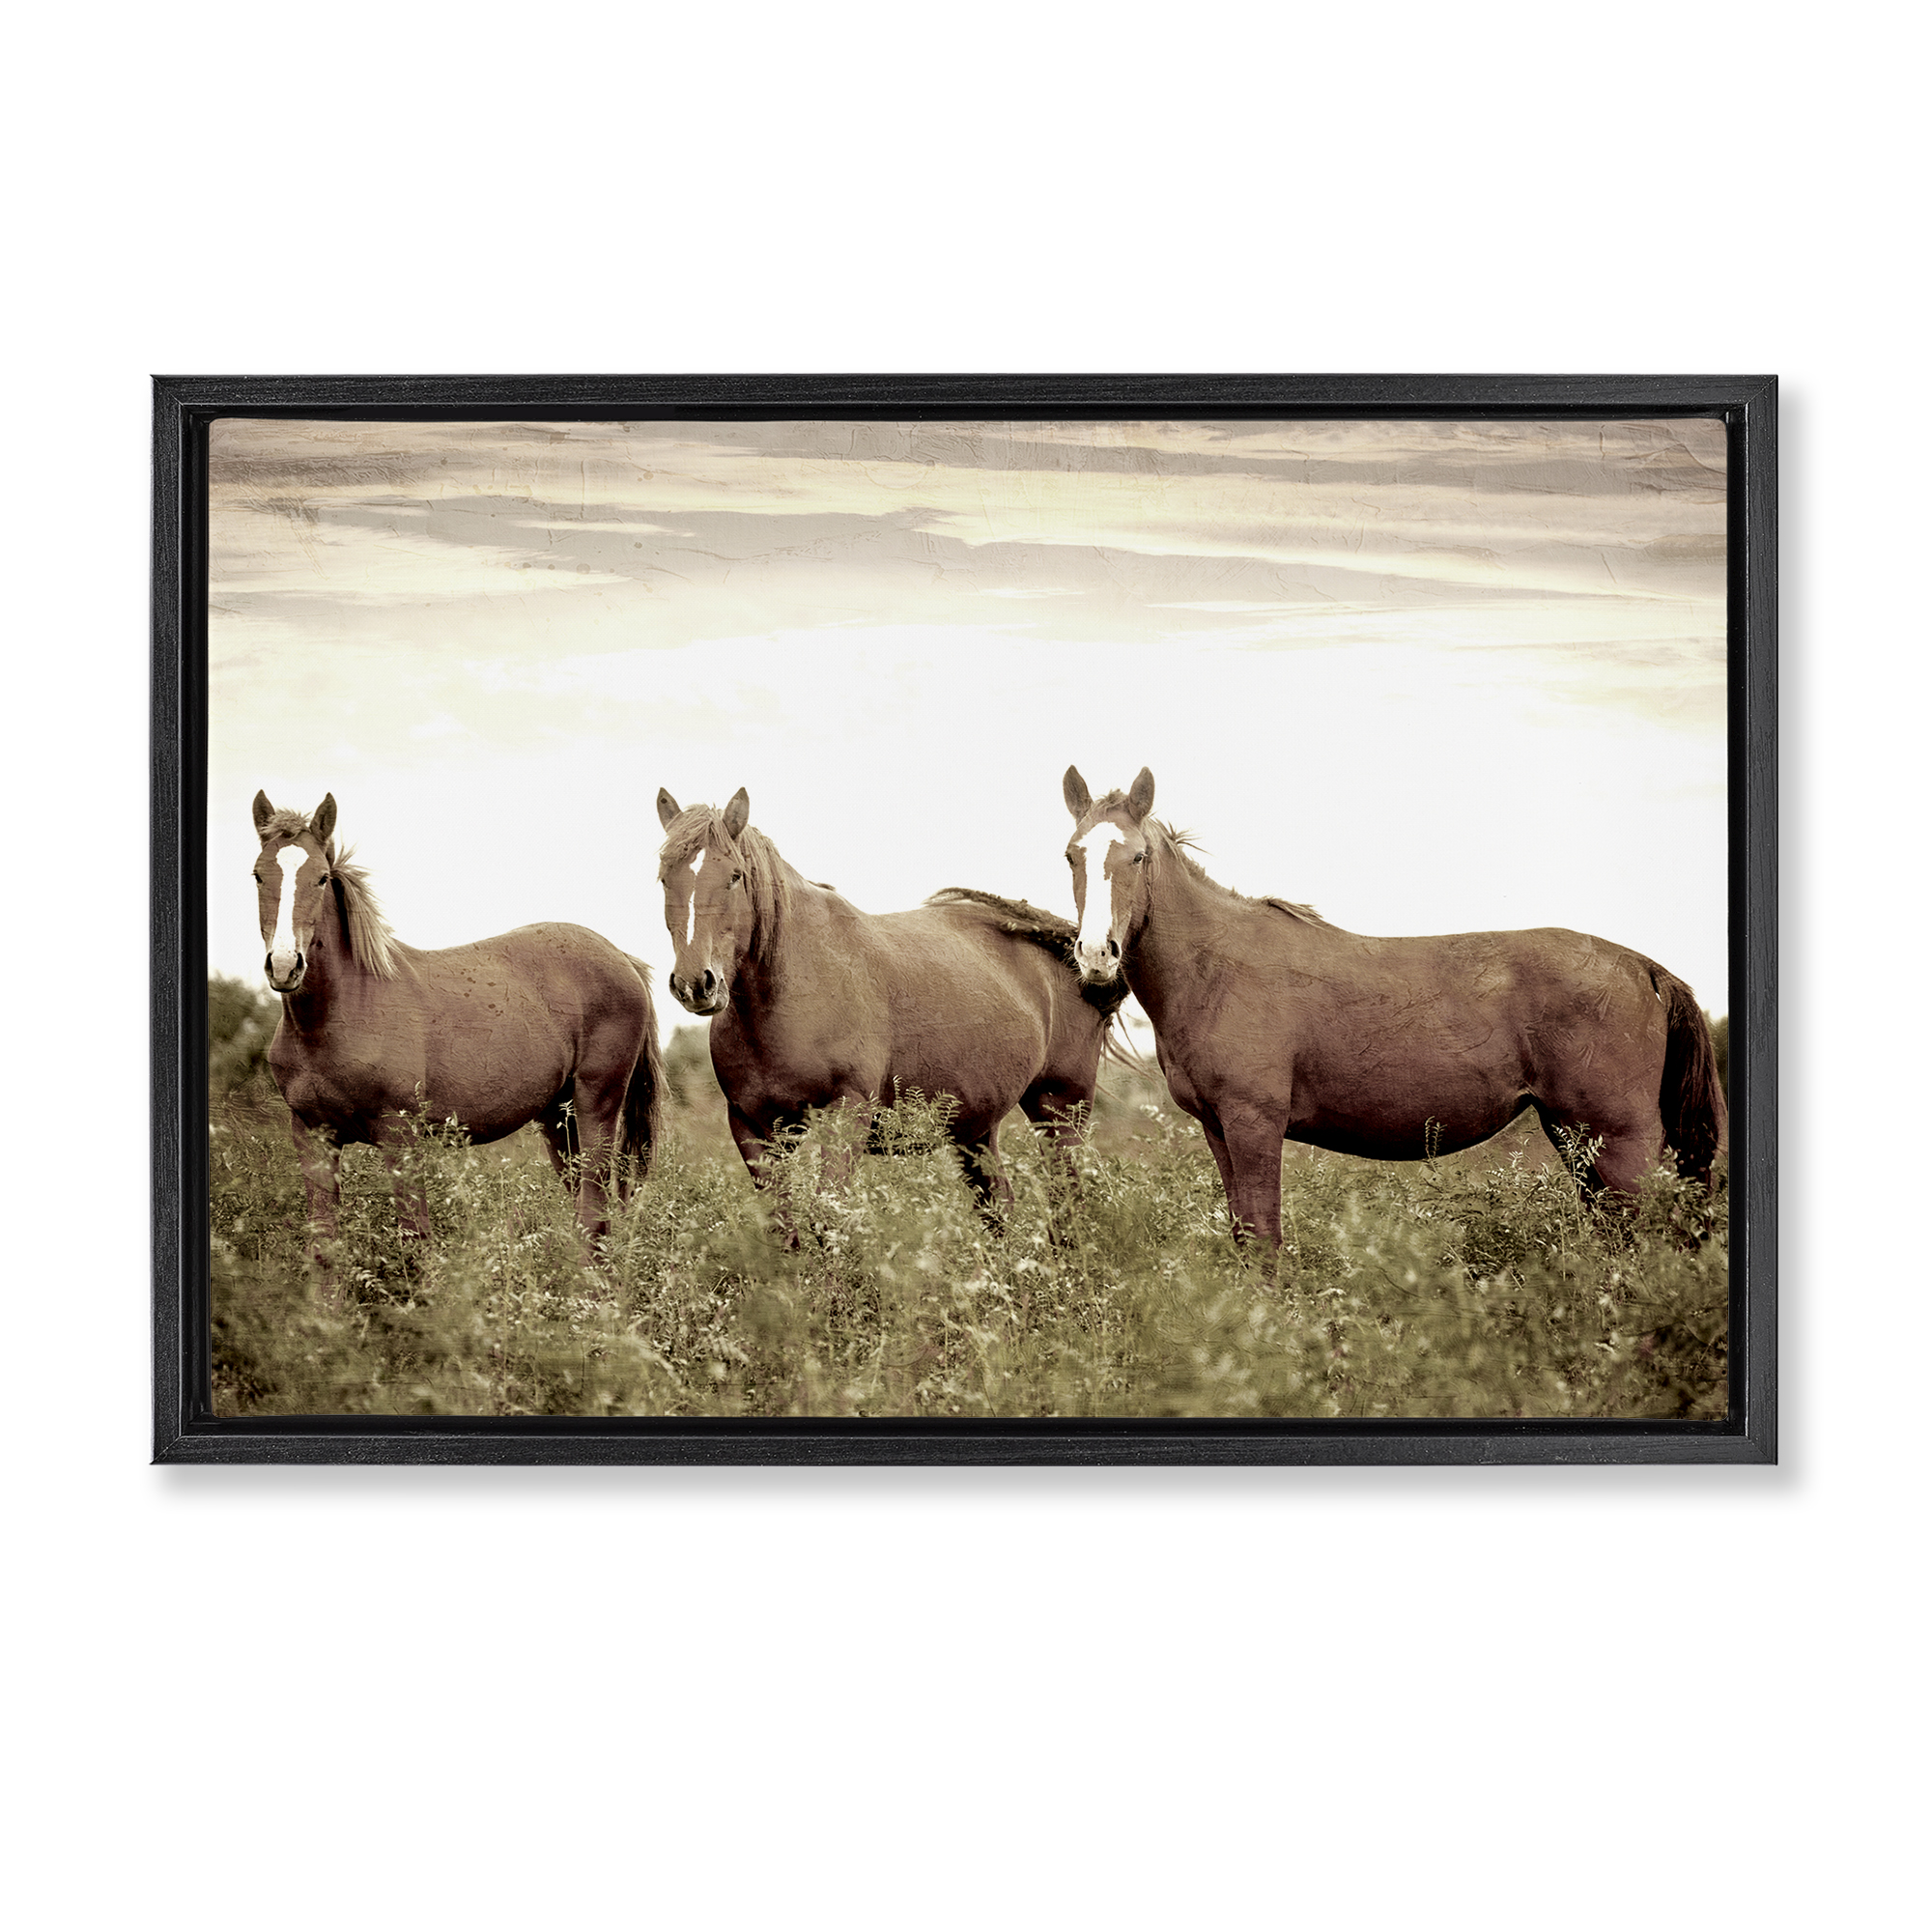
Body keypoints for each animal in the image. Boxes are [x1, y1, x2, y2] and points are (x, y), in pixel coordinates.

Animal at [248, 791, 662, 1299]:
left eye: (321, 877)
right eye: (258, 874)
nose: (285, 965)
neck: (337, 1017)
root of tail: (622, 958)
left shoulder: (400, 1137)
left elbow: (415, 1240)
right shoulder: (312, 1135)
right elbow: (325, 1246)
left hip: (596, 1104)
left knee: (594, 1205)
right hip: (557, 1119)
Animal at [654, 786, 1122, 1225]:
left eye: (734, 876)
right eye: (663, 877)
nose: (695, 984)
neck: (789, 993)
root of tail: (1077, 955)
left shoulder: (845, 1117)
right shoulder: (754, 1129)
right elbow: (785, 1226)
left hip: (1059, 1113)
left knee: (1068, 1202)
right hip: (976, 1129)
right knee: (998, 1207)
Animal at [1060, 766, 1727, 1250]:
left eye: (1137, 857)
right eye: (1072, 855)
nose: (1095, 954)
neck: (1216, 969)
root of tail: (1642, 967)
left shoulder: (1255, 1125)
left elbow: (1266, 1238)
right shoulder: (1218, 1128)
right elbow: (1246, 1238)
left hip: (1619, 1141)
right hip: (1576, 1138)